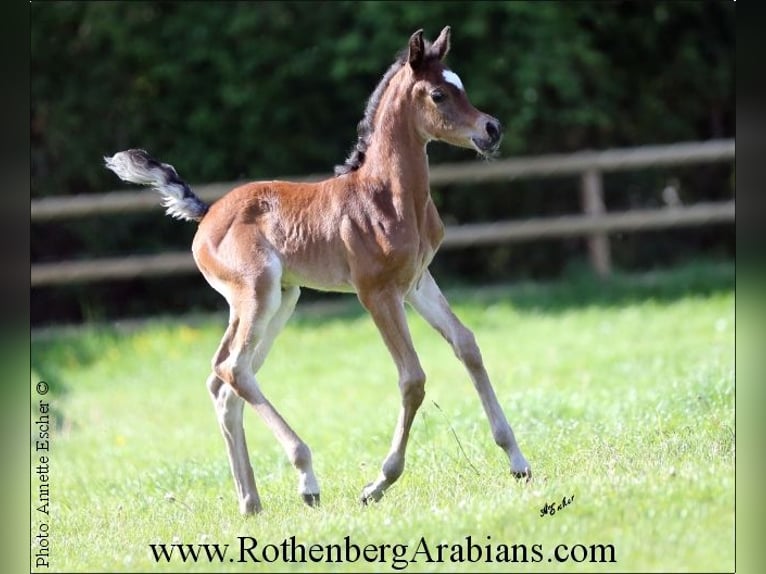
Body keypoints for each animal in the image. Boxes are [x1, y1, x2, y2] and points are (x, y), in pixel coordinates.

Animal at [105, 25, 532, 516]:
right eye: (439, 94)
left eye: (461, 84)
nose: (491, 129)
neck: (387, 195)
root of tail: (207, 213)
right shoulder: (376, 292)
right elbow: (413, 378)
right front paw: (378, 483)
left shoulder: (417, 282)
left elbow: (467, 345)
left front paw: (518, 460)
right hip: (258, 291)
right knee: (236, 369)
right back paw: (306, 477)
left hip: (280, 300)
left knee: (223, 379)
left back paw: (250, 501)